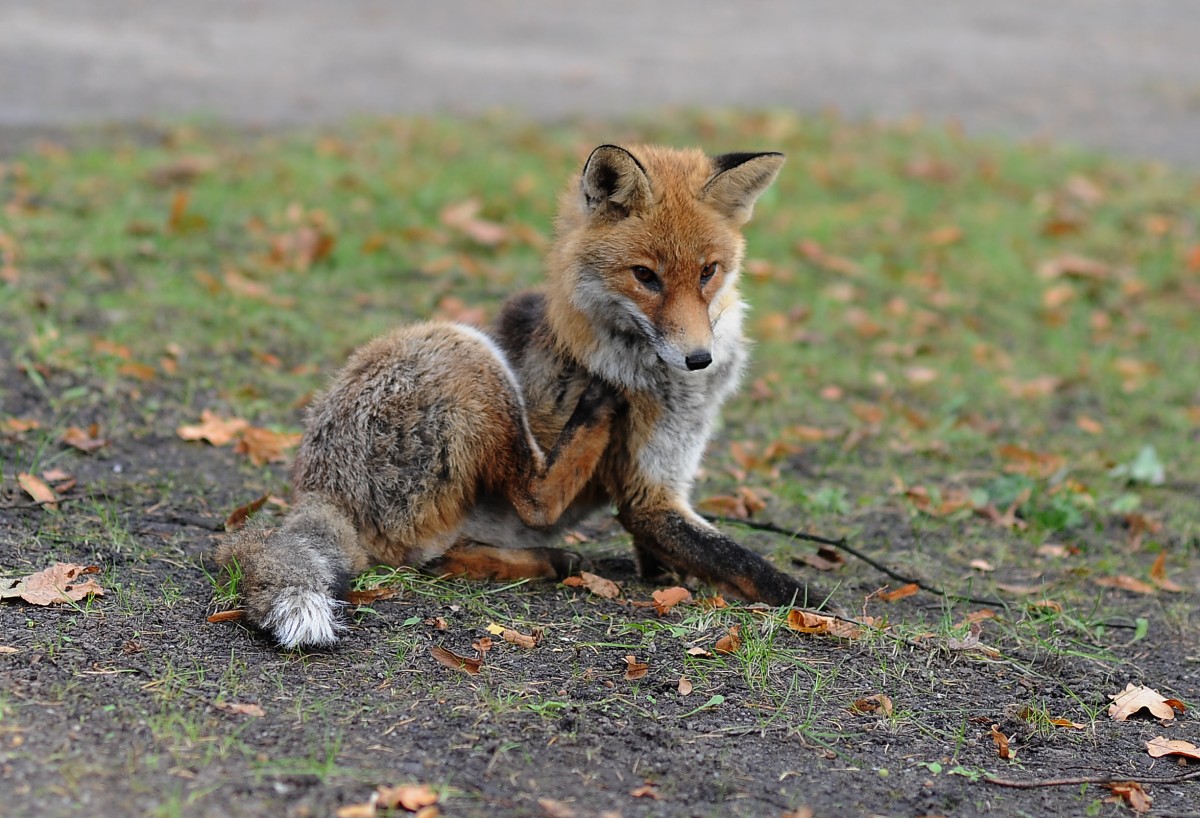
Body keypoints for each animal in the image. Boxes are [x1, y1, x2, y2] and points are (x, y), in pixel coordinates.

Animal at [216, 143, 816, 647]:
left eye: (709, 272)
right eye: (645, 276)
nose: (698, 360)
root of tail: (316, 489)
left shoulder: (667, 479)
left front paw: (663, 573)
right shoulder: (648, 494)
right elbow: (754, 566)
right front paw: (819, 607)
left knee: (432, 559)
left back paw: (549, 561)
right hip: (465, 352)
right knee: (532, 498)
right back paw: (594, 416)